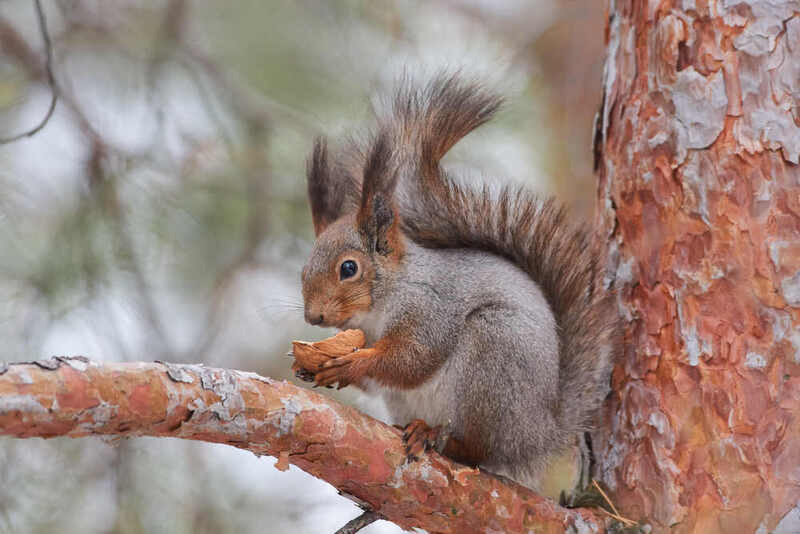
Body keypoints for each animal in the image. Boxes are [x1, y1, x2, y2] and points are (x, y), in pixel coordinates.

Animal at [294, 73, 618, 491]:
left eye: (348, 269)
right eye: (304, 270)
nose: (313, 317)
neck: (381, 304)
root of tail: (539, 435)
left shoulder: (431, 306)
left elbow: (412, 359)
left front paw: (351, 363)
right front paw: (310, 365)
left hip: (492, 357)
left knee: (476, 450)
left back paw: (436, 437)